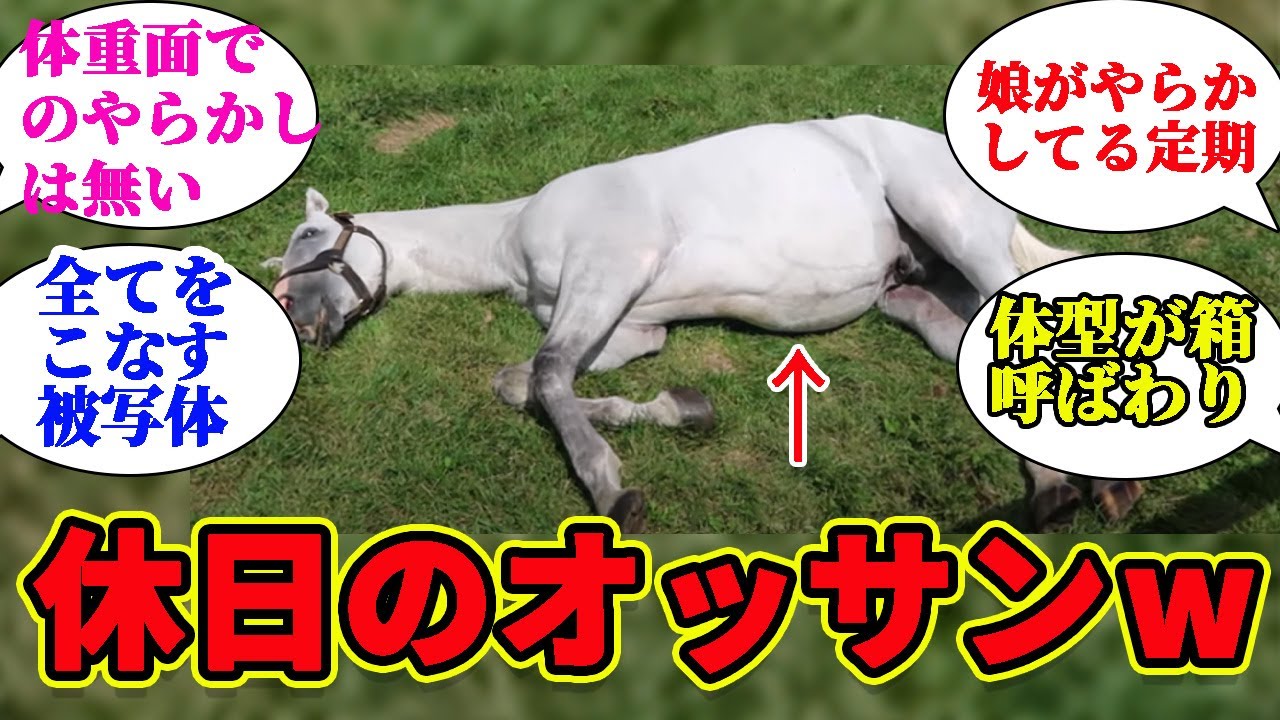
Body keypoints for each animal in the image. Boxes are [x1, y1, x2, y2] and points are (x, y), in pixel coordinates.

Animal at [266, 113, 1144, 533]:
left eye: (307, 238)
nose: (294, 322)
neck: (513, 232)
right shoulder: (627, 327)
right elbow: (528, 383)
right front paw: (686, 408)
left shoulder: (610, 271)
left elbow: (545, 375)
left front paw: (611, 487)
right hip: (918, 293)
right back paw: (1055, 493)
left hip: (954, 226)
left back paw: (1111, 486)